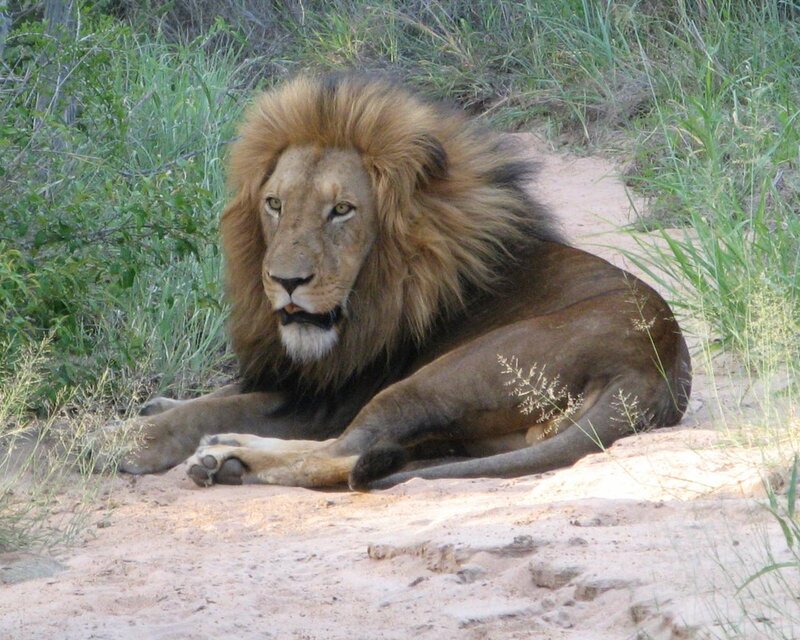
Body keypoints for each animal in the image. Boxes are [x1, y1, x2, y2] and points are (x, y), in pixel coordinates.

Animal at [111, 73, 691, 490]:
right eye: (274, 204)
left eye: (341, 210)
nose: (285, 281)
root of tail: (655, 368)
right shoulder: (305, 377)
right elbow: (222, 393)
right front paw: (158, 407)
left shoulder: (331, 396)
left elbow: (221, 403)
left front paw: (131, 438)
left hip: (442, 376)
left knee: (344, 455)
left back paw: (225, 456)